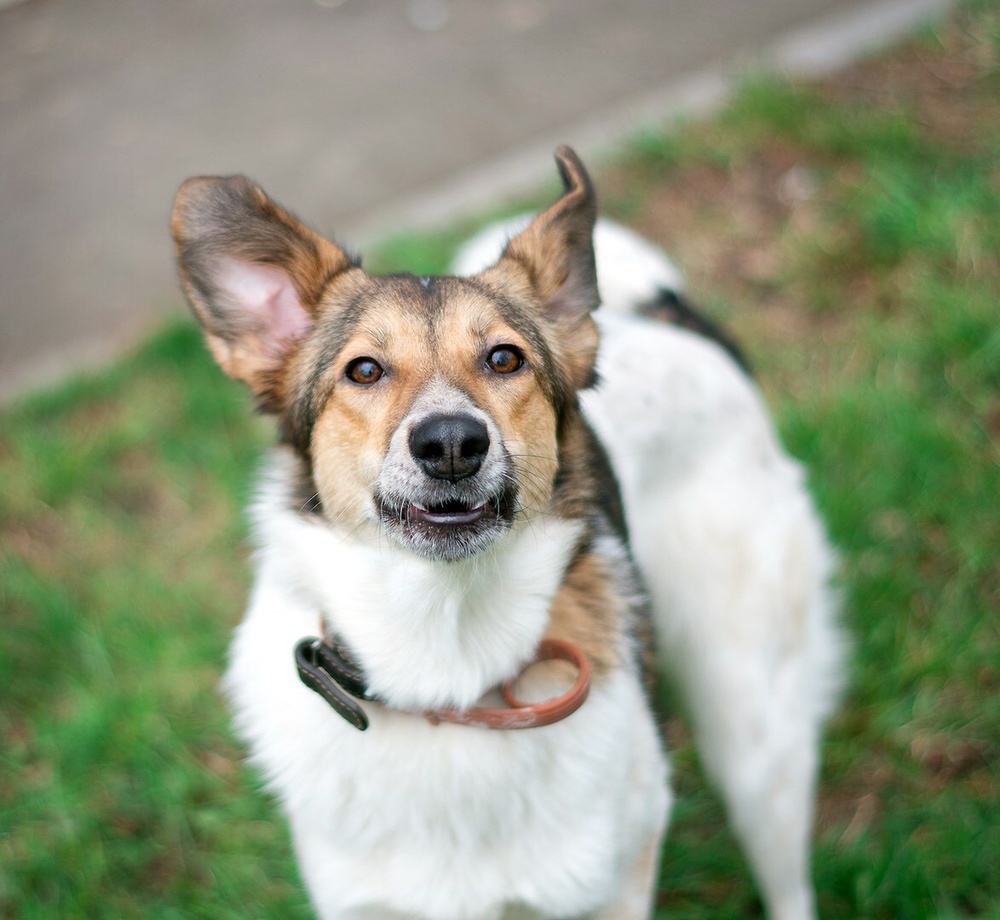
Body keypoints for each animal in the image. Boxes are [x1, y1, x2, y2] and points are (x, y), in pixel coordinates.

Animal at [172, 147, 844, 916]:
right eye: (363, 370)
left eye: (504, 359)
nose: (451, 443)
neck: (446, 668)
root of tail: (664, 321)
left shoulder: (618, 876)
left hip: (756, 727)